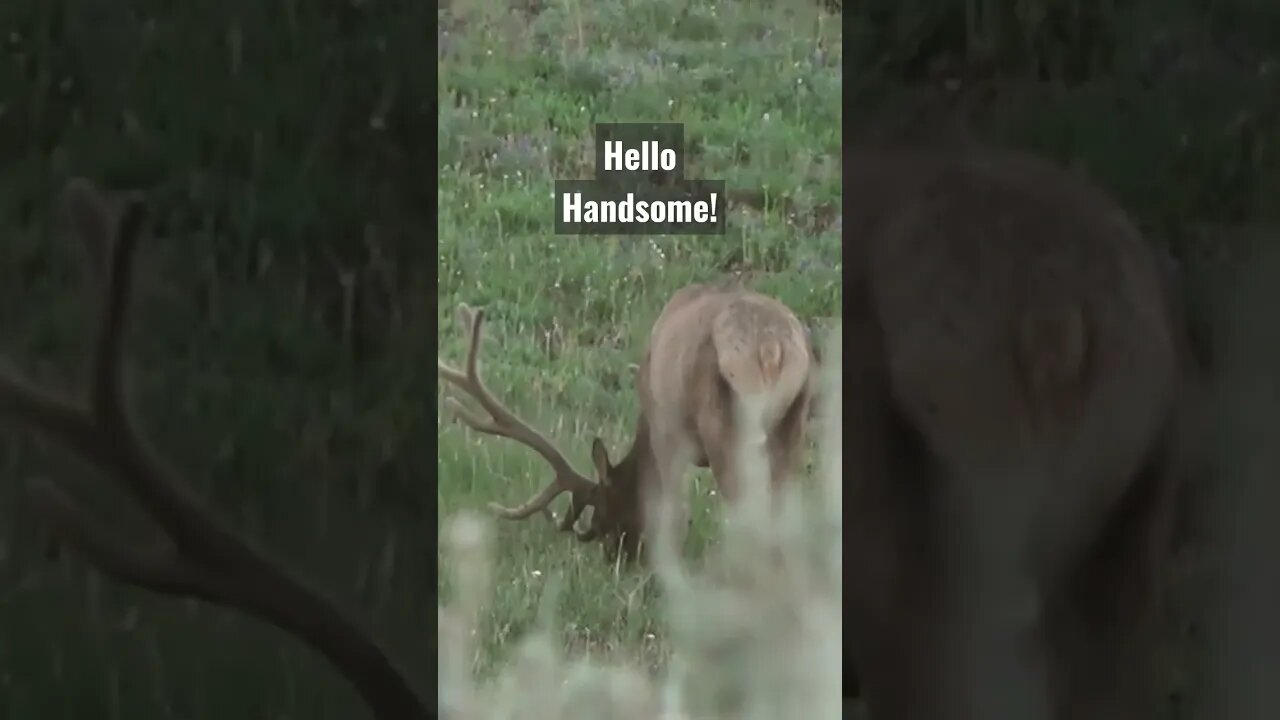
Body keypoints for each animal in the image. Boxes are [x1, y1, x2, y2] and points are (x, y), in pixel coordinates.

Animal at [437, 281, 808, 561]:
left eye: (603, 507)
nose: (616, 555)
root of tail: (771, 348)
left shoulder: (667, 431)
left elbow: (669, 509)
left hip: (724, 426)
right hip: (791, 425)